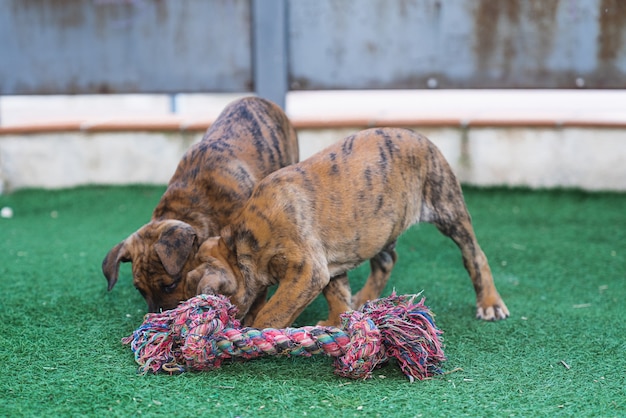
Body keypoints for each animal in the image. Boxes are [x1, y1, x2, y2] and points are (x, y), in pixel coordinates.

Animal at [189, 125, 508, 328]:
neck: (244, 242)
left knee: (474, 254)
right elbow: (336, 293)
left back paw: (490, 302)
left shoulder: (306, 269)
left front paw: (254, 334)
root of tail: (420, 136)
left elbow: (275, 310)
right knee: (386, 260)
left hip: (447, 208)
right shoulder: (326, 266)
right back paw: (364, 298)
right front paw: (338, 321)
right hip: (379, 226)